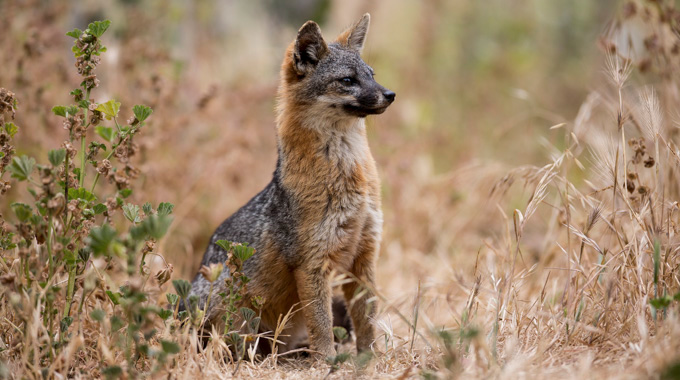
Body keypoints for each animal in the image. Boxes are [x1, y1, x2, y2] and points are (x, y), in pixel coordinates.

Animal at [187, 13, 398, 358]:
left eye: (372, 75)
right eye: (348, 80)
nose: (390, 94)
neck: (350, 178)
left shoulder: (365, 255)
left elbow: (367, 320)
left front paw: (371, 358)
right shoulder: (311, 262)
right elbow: (322, 325)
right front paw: (327, 361)